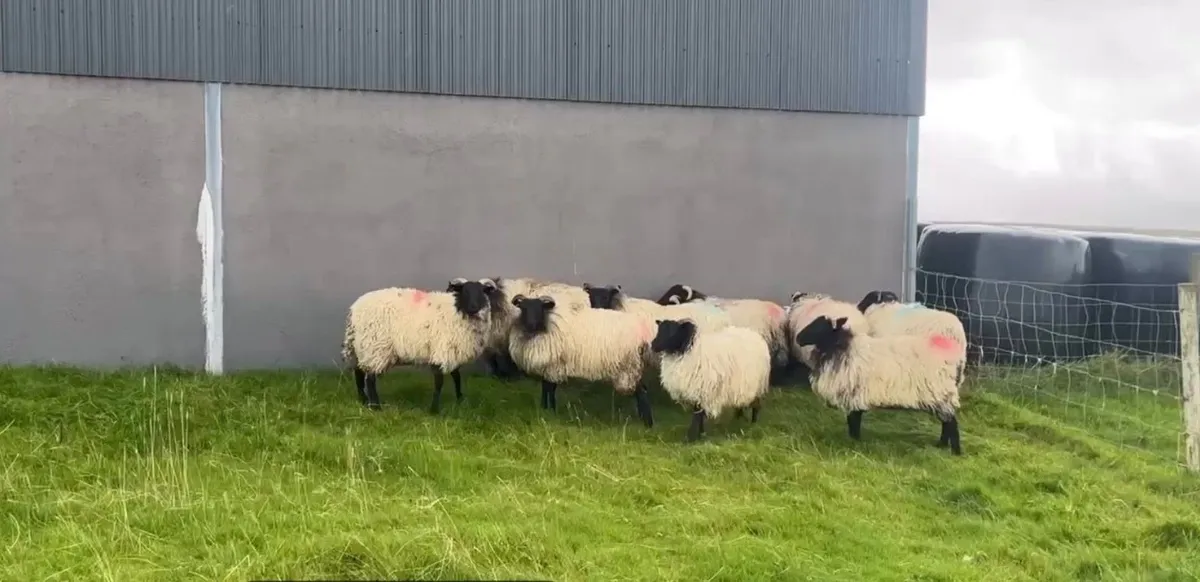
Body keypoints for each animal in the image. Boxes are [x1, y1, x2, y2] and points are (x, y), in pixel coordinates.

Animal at [341, 277, 500, 413]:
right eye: (465, 291)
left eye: (482, 292)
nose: (473, 308)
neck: (457, 311)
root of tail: (354, 310)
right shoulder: (441, 351)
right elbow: (439, 382)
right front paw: (434, 410)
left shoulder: (452, 351)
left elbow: (456, 376)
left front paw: (460, 400)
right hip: (375, 347)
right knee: (370, 378)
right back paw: (375, 407)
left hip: (362, 347)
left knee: (359, 373)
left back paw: (363, 401)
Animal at [507, 294, 656, 427]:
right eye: (523, 308)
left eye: (540, 308)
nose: (531, 324)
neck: (547, 324)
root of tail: (642, 333)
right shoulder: (549, 367)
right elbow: (546, 387)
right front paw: (544, 407)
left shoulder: (553, 367)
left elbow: (550, 388)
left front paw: (551, 410)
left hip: (630, 367)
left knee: (642, 392)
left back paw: (647, 423)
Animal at [794, 315, 964, 455]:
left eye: (820, 326)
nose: (798, 338)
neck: (841, 347)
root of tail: (953, 357)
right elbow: (854, 420)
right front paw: (854, 440)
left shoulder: (854, 394)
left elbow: (853, 421)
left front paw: (853, 442)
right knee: (946, 421)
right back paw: (941, 445)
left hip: (940, 393)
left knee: (951, 423)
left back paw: (954, 451)